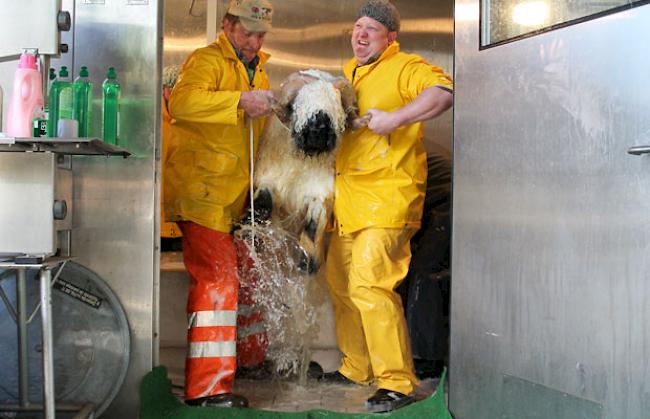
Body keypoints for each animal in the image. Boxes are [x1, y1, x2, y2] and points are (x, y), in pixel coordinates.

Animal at [252, 70, 368, 274]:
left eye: (336, 102)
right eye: (299, 101)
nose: (318, 130)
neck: (301, 163)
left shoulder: (320, 192)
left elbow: (313, 225)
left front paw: (307, 261)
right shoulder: (268, 178)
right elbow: (264, 201)